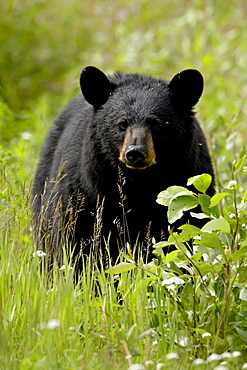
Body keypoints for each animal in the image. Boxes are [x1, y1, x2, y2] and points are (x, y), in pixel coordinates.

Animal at [32, 66, 214, 266]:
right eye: (122, 124)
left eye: (156, 125)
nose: (135, 152)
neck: (137, 185)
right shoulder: (83, 193)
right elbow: (74, 238)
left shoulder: (188, 182)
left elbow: (187, 230)